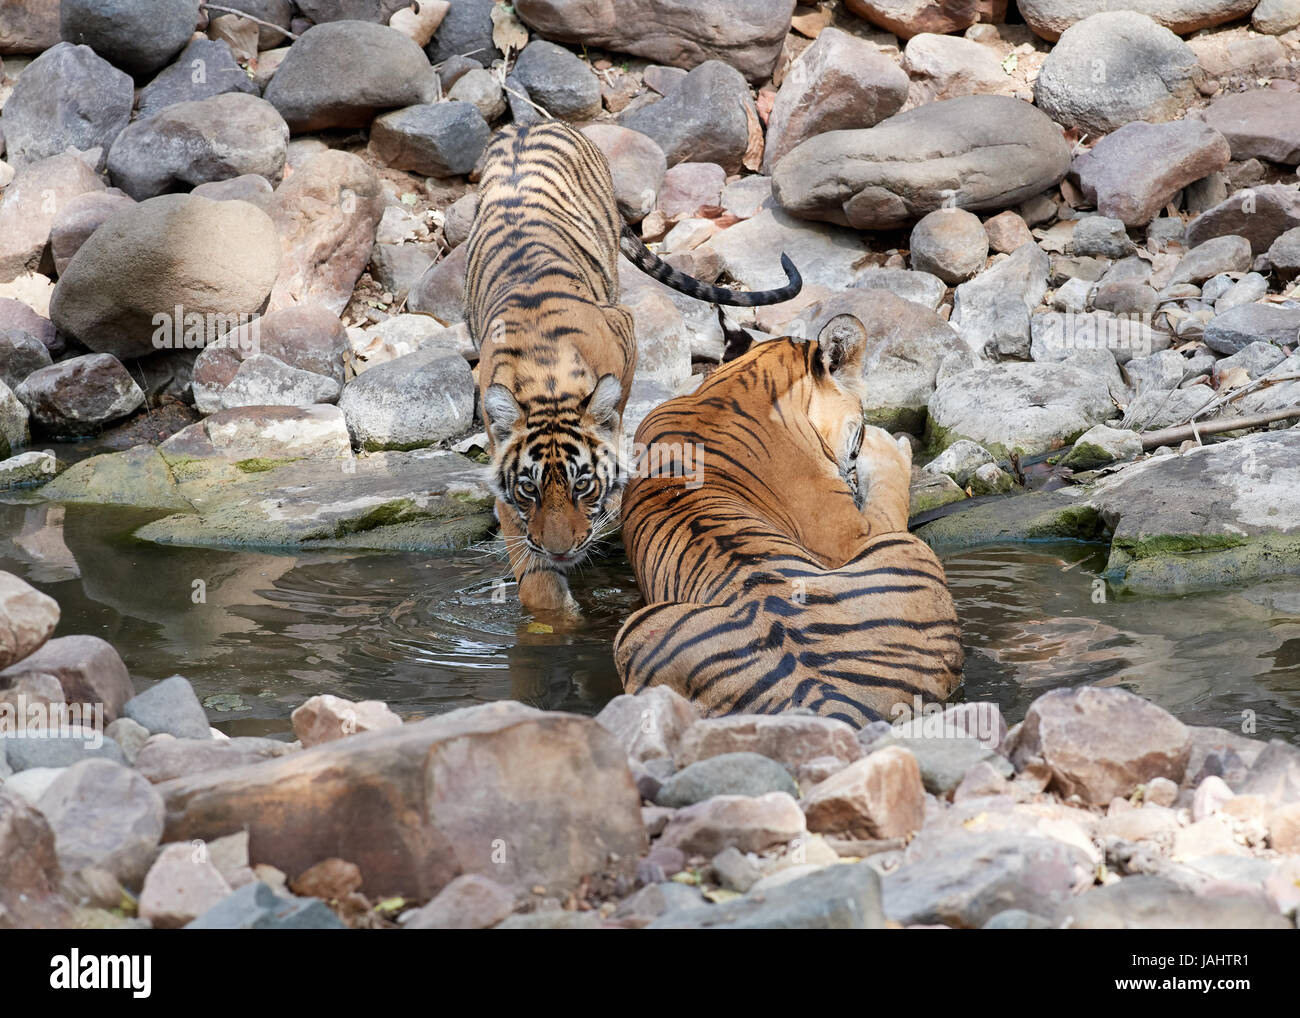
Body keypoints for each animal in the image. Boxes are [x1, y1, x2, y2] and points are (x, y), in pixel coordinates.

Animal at [462, 122, 795, 608]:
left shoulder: (626, 333)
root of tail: (532, 121)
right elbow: (535, 578)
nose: (561, 550)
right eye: (529, 489)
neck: (546, 381)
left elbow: (615, 414)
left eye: (583, 485)